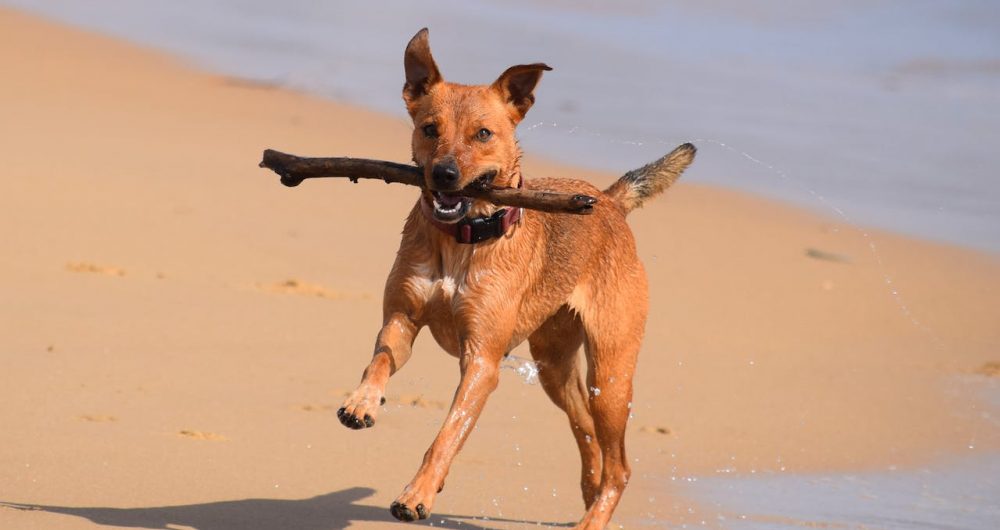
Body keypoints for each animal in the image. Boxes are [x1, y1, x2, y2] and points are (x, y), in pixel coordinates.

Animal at [336, 29, 696, 528]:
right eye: (430, 129)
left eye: (483, 134)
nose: (444, 174)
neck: (464, 237)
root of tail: (608, 201)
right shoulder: (401, 319)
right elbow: (381, 360)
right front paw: (363, 401)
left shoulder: (481, 361)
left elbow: (447, 435)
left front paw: (419, 492)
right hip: (553, 365)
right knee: (587, 431)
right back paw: (588, 493)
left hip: (611, 371)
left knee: (620, 465)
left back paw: (592, 518)